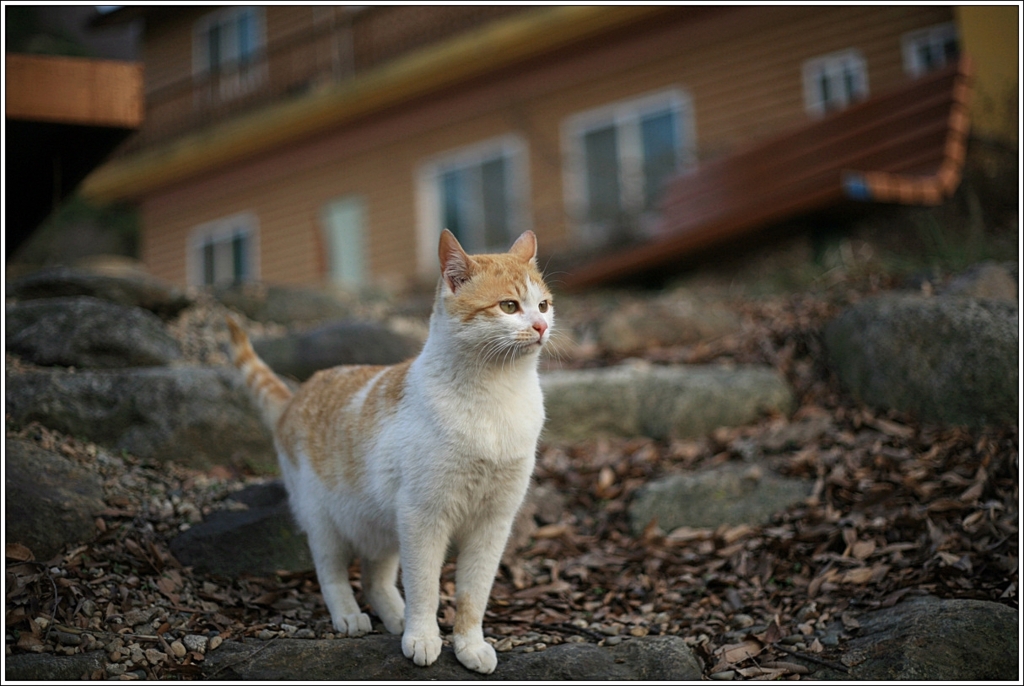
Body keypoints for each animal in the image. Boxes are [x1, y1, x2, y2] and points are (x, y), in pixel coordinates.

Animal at [229, 231, 557, 675]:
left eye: (543, 305)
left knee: (374, 578)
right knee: (332, 572)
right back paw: (350, 616)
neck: (497, 395)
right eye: (509, 306)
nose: (541, 326)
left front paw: (468, 644)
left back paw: (394, 615)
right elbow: (425, 587)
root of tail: (296, 396)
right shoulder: (422, 517)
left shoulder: (493, 523)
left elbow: (474, 594)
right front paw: (422, 637)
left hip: (382, 528)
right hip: (325, 524)